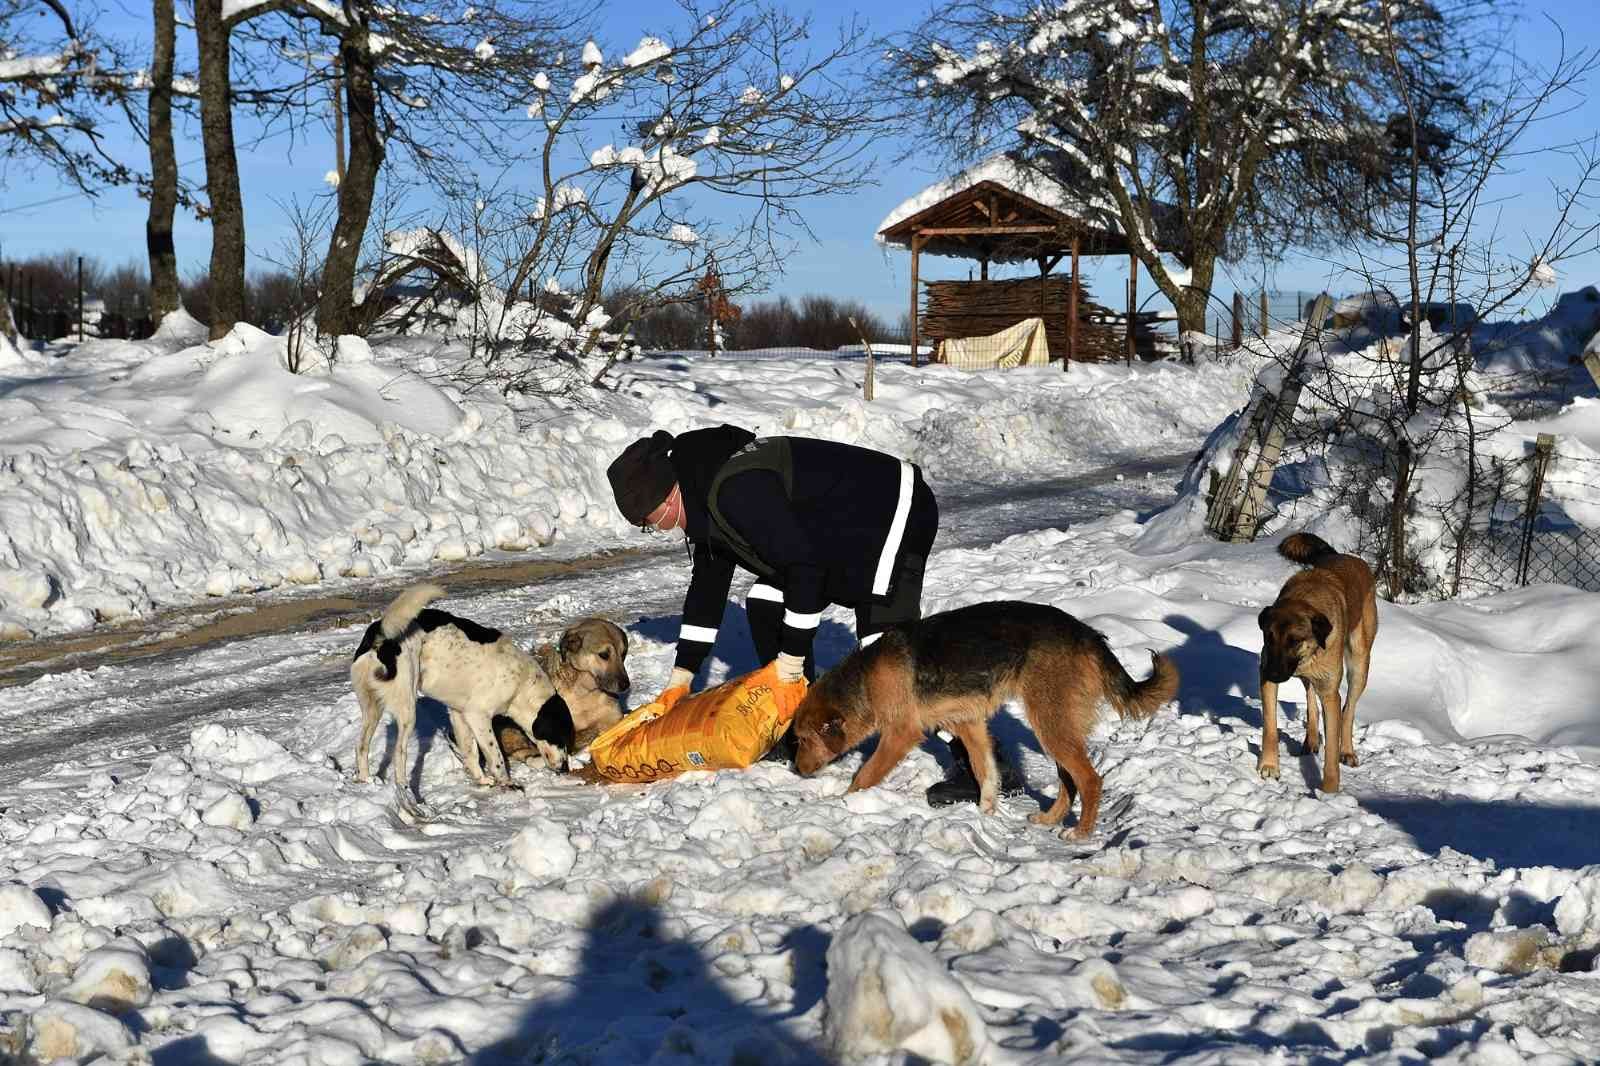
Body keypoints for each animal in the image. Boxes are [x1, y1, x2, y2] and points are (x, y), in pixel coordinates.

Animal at [793, 601, 1184, 832]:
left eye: (803, 740)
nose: (796, 771)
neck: (864, 680)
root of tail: (1086, 634)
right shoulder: (968, 724)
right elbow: (985, 772)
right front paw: (986, 811)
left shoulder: (900, 734)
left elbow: (865, 775)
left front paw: (844, 804)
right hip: (1057, 727)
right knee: (1069, 781)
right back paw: (1050, 819)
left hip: (1050, 723)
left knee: (1089, 780)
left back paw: (1081, 833)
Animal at [1254, 531, 1382, 787]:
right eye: (1268, 637)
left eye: (1294, 640)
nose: (1272, 673)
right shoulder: (1269, 677)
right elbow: (1270, 726)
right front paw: (1269, 766)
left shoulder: (1330, 692)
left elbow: (1332, 747)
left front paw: (1329, 789)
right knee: (1310, 696)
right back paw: (1311, 739)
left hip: (1359, 664)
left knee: (1348, 709)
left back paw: (1347, 751)